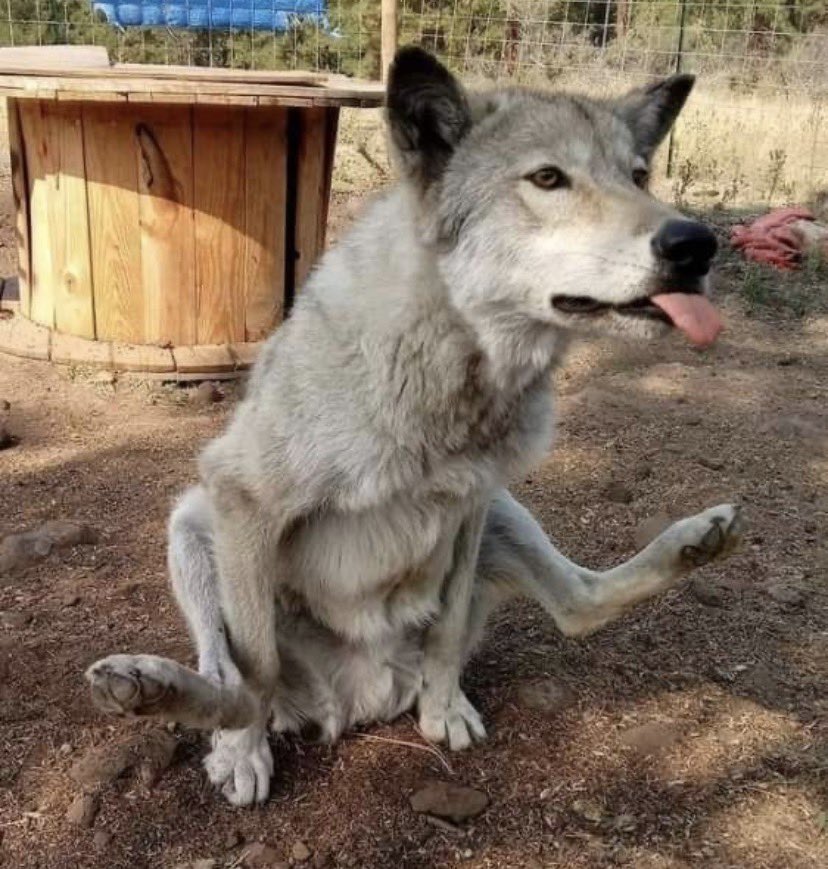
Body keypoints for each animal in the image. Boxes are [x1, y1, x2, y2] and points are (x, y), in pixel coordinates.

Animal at [86, 47, 743, 807]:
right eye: (549, 178)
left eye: (639, 176)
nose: (696, 244)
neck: (458, 368)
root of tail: (360, 698)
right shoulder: (242, 496)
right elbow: (252, 668)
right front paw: (243, 752)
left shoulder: (472, 503)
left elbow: (450, 629)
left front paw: (442, 710)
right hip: (193, 521)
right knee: (237, 681)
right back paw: (152, 687)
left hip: (504, 513)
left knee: (578, 604)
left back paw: (696, 541)